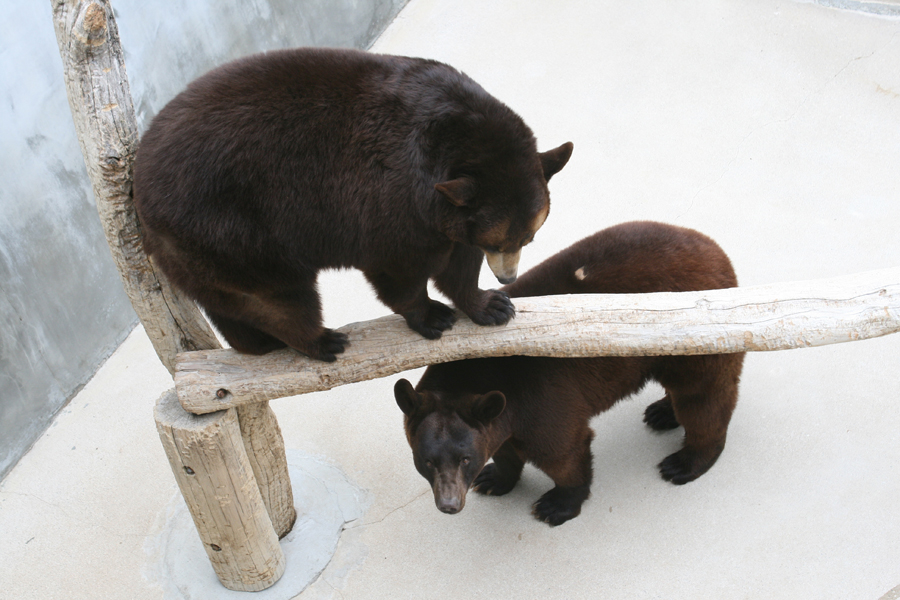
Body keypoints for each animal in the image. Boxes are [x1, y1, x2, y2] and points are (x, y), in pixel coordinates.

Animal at [131, 47, 572, 360]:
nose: (508, 277)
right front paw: (432, 316)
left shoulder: (455, 218)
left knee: (231, 300)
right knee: (279, 296)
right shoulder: (392, 202)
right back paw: (319, 341)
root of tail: (141, 192)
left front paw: (491, 305)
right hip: (228, 232)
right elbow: (398, 269)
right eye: (499, 242)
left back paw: (254, 343)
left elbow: (459, 263)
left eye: (528, 239)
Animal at [396, 220, 744, 524]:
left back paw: (685, 461)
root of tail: (717, 252)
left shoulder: (540, 396)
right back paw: (662, 412)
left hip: (695, 337)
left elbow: (563, 452)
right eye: (426, 460)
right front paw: (494, 479)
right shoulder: (500, 412)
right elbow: (505, 448)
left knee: (702, 399)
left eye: (465, 458)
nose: (449, 504)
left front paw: (556, 505)